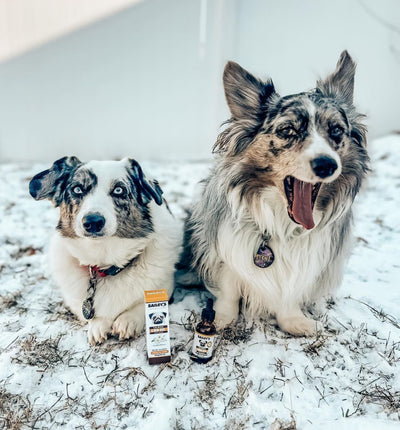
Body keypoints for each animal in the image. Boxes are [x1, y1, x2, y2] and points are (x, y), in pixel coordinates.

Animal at [30, 156, 180, 344]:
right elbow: (92, 315)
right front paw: (98, 325)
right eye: (77, 189)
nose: (93, 221)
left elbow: (143, 305)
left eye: (118, 190)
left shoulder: (166, 285)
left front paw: (128, 320)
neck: (105, 262)